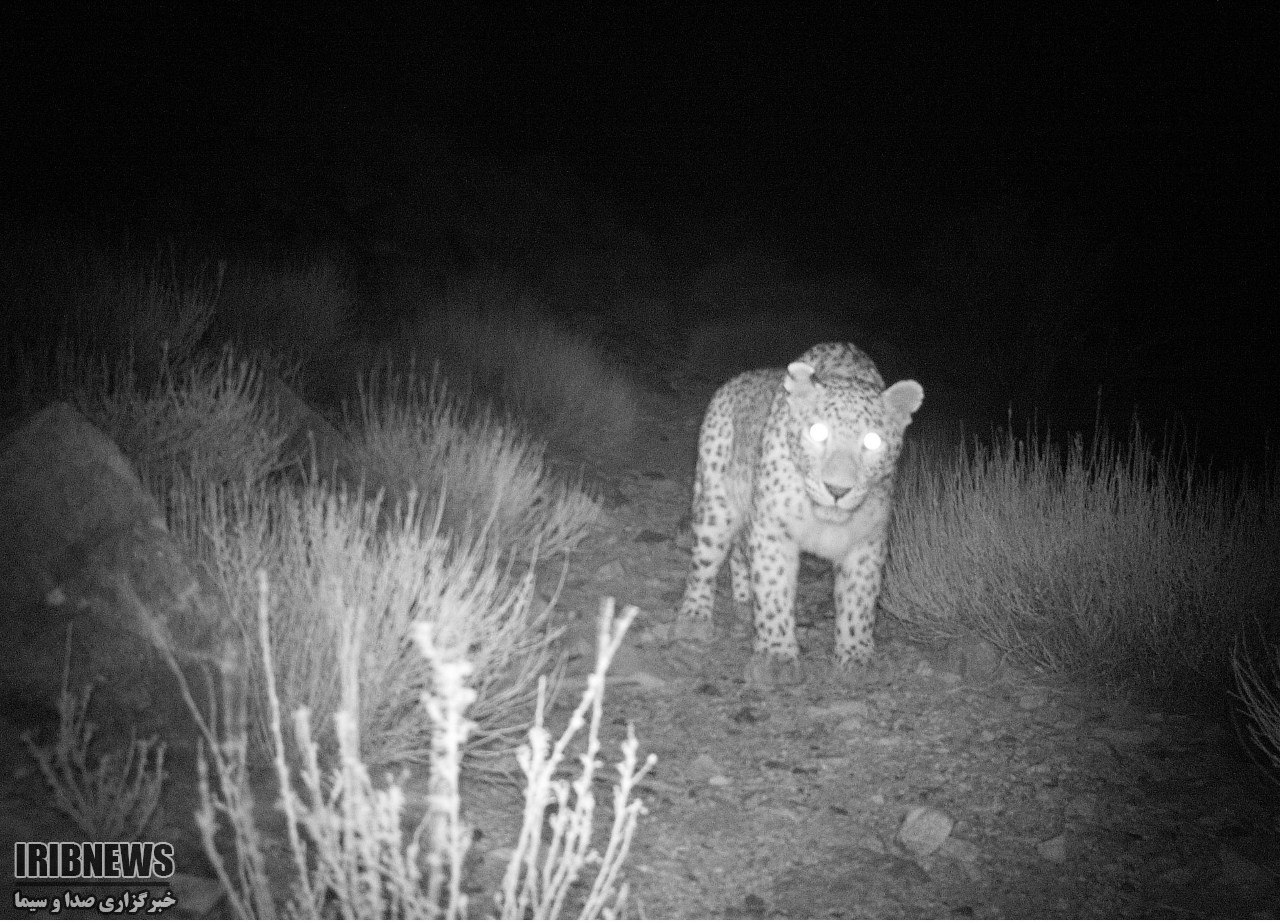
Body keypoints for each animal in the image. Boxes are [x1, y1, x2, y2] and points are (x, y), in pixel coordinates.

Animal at [680, 340, 921, 686]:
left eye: (873, 441)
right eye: (817, 432)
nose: (837, 489)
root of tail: (737, 379)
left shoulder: (867, 542)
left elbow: (859, 602)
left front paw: (857, 656)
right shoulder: (773, 531)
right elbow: (774, 590)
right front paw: (776, 657)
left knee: (739, 554)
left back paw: (744, 599)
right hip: (715, 504)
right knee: (704, 562)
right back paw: (693, 619)